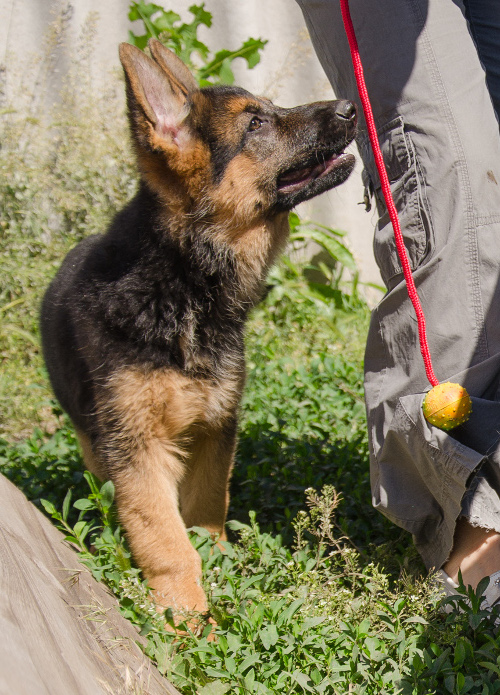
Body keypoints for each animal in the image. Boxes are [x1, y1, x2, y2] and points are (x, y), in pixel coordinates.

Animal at [41, 39, 358, 616]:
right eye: (256, 123)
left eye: (268, 109)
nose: (350, 107)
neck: (181, 279)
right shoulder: (138, 450)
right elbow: (165, 540)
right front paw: (187, 616)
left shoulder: (214, 427)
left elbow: (207, 511)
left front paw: (221, 564)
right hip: (94, 441)